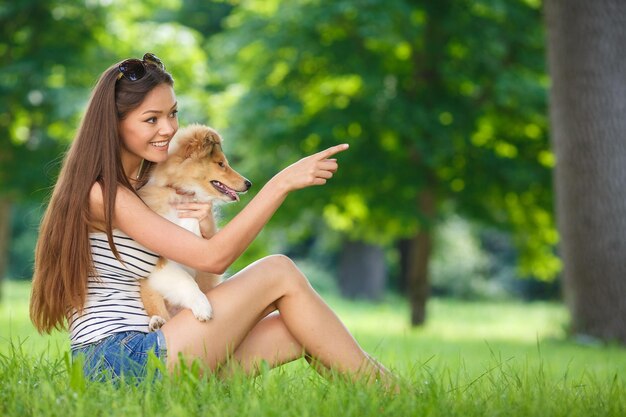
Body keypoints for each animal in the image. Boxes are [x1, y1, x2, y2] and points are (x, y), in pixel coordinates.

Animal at [138, 122, 250, 330]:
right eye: (221, 164)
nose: (249, 184)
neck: (185, 196)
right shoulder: (161, 261)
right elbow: (186, 280)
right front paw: (202, 307)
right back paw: (157, 322)